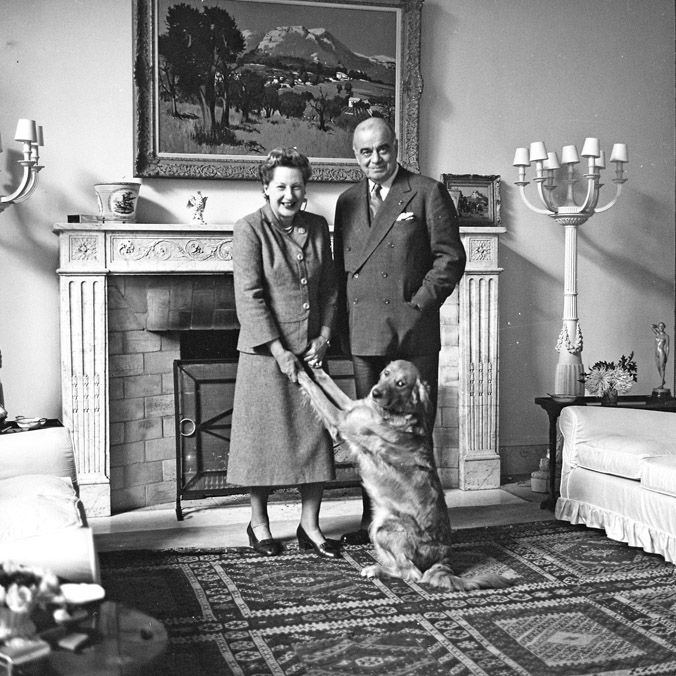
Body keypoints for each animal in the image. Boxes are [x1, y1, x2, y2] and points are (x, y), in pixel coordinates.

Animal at [298, 360, 510, 592]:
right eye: (386, 373)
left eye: (401, 383)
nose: (375, 392)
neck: (392, 413)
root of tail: (444, 558)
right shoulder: (351, 408)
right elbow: (327, 381)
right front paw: (313, 365)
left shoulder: (341, 420)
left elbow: (314, 388)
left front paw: (296, 369)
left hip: (384, 528)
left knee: (411, 573)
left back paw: (375, 570)